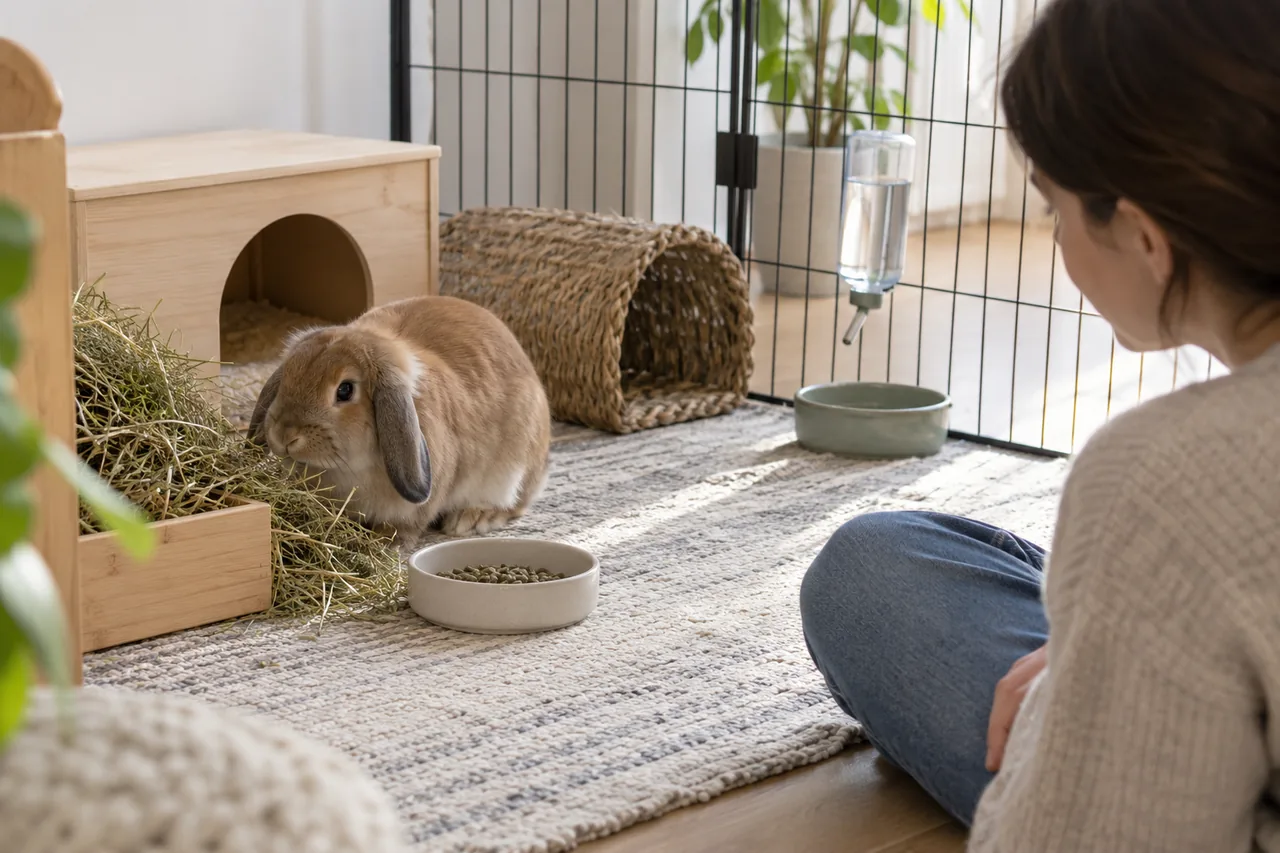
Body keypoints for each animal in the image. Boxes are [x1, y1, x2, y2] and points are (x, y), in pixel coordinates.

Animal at [247, 294, 552, 540]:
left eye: (345, 390)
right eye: (288, 375)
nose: (285, 435)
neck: (349, 468)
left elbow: (399, 529)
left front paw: (381, 543)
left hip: (511, 472)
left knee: (514, 505)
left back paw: (469, 520)